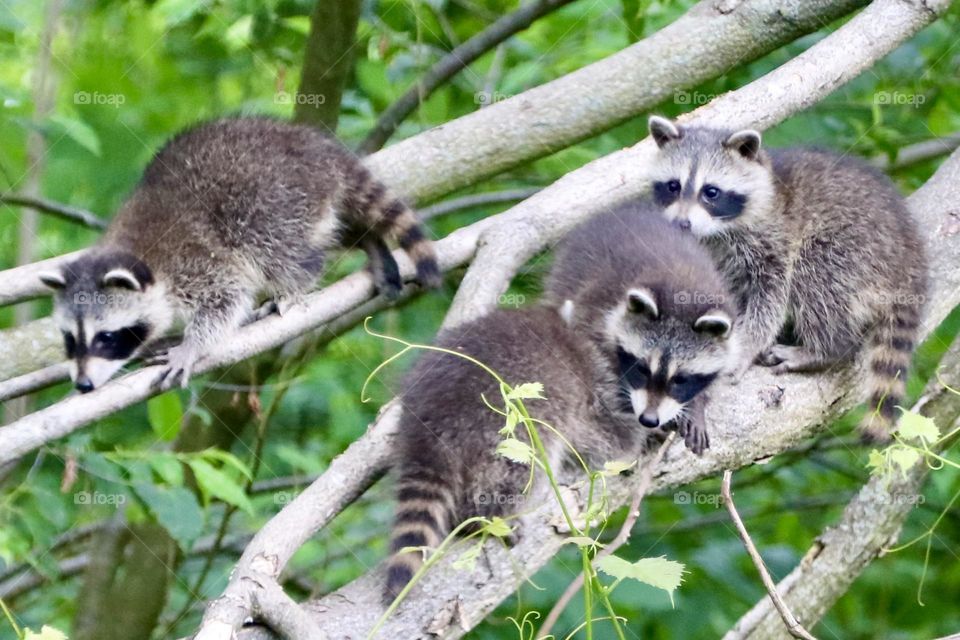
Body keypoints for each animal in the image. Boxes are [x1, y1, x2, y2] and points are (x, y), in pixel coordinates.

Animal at [38, 117, 442, 392]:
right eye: (70, 339)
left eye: (105, 338)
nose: (83, 386)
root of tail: (314, 147)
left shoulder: (194, 259)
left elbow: (227, 299)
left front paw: (190, 346)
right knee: (337, 230)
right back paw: (370, 242)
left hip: (270, 201)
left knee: (282, 252)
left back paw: (293, 285)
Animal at [386, 302, 648, 604]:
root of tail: (429, 429)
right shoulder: (584, 394)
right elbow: (608, 439)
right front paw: (643, 435)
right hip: (509, 426)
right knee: (518, 471)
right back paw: (489, 514)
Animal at [544, 201, 740, 456]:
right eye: (642, 369)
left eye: (681, 380)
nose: (648, 419)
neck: (681, 294)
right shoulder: (594, 311)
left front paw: (695, 405)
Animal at [648, 116, 928, 440]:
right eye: (673, 186)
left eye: (711, 192)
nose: (682, 223)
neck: (718, 231)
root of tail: (910, 259)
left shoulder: (774, 239)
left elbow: (770, 300)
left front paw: (743, 349)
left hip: (857, 246)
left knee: (816, 276)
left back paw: (827, 348)